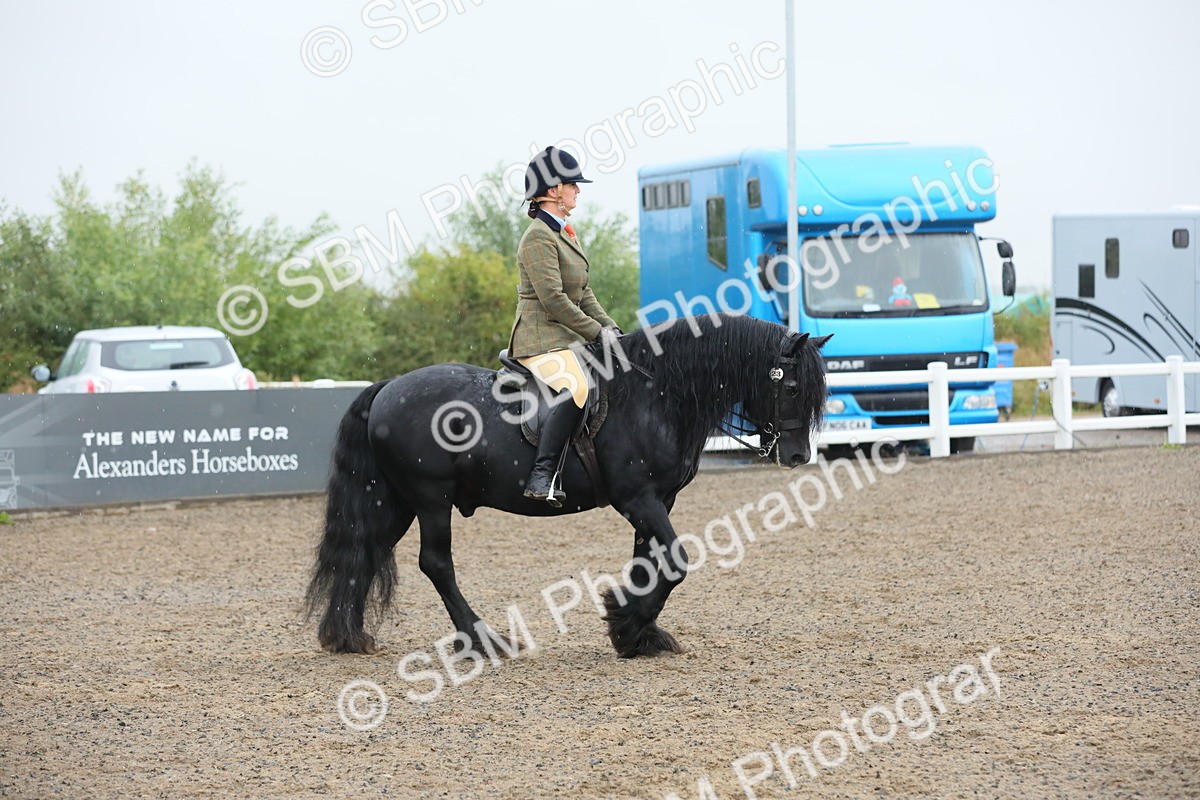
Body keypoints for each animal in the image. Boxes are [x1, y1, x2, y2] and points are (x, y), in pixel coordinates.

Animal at [306, 313, 831, 658]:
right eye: (789, 386)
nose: (797, 456)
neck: (657, 393)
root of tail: (389, 387)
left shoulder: (659, 500)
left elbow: (651, 564)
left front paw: (633, 631)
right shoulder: (637, 498)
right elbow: (677, 562)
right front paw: (628, 624)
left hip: (395, 501)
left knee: (365, 551)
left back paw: (347, 637)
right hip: (431, 498)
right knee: (435, 564)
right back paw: (484, 640)